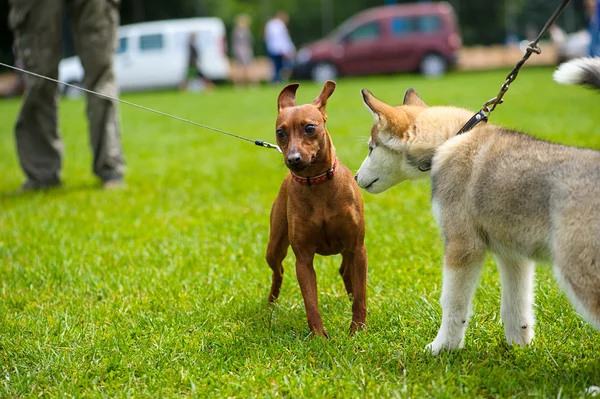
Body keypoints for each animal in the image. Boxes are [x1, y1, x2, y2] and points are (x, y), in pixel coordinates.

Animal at [266, 81, 368, 338]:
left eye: (310, 128)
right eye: (280, 133)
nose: (293, 159)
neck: (317, 185)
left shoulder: (358, 248)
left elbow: (361, 295)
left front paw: (357, 330)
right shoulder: (303, 260)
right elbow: (310, 302)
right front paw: (319, 337)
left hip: (348, 250)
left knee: (346, 271)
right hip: (274, 247)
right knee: (278, 272)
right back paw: (270, 305)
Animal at [354, 88, 600, 356]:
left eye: (370, 148)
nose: (354, 177)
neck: (452, 138)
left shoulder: (463, 246)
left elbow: (452, 303)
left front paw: (443, 347)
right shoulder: (512, 253)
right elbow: (516, 304)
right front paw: (519, 347)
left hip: (579, 270)